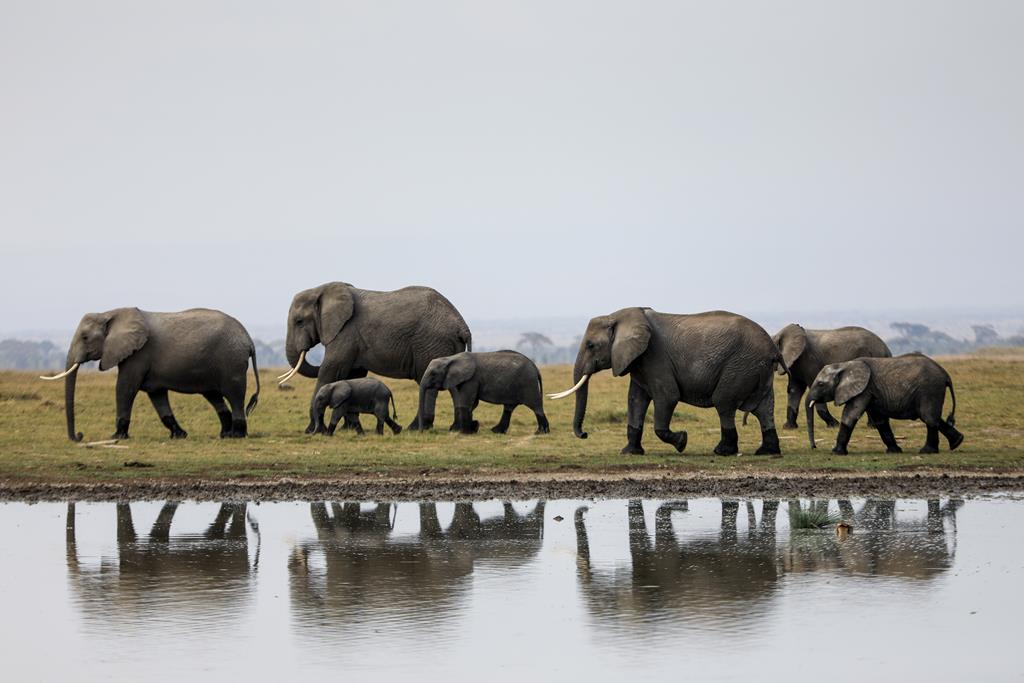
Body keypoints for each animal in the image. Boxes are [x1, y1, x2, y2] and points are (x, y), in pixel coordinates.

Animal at [40, 307, 260, 440]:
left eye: (85, 337)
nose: (80, 435)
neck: (110, 313)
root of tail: (249, 339)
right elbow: (157, 396)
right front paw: (179, 435)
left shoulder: (138, 354)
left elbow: (125, 388)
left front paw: (116, 437)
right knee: (214, 396)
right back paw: (225, 434)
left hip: (231, 361)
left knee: (234, 395)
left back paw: (237, 435)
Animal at [278, 282, 473, 432]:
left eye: (299, 322)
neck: (322, 289)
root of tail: (462, 325)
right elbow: (354, 374)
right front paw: (347, 429)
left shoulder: (346, 333)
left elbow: (330, 370)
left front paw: (313, 430)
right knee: (454, 385)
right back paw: (456, 428)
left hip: (430, 343)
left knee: (431, 385)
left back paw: (416, 428)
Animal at [415, 350, 548, 436]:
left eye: (433, 374)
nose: (421, 432)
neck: (451, 358)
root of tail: (536, 368)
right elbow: (472, 403)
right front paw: (470, 428)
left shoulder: (472, 379)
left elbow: (465, 402)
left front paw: (464, 433)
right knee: (509, 407)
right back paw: (496, 431)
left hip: (528, 383)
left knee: (535, 406)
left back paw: (541, 433)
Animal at [552, 311, 782, 458]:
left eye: (591, 345)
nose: (584, 434)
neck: (619, 316)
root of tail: (773, 348)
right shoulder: (639, 361)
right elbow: (635, 400)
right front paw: (629, 453)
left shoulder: (655, 357)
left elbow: (668, 396)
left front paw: (682, 441)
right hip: (755, 368)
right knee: (764, 408)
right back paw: (766, 452)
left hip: (740, 365)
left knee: (724, 403)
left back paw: (722, 452)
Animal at [802, 352, 962, 454]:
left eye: (821, 384)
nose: (814, 447)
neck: (845, 365)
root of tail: (945, 374)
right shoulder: (871, 391)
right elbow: (880, 421)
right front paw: (894, 452)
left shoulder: (864, 389)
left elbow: (850, 415)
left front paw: (836, 452)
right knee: (933, 417)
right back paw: (957, 443)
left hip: (929, 389)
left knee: (928, 417)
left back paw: (927, 451)